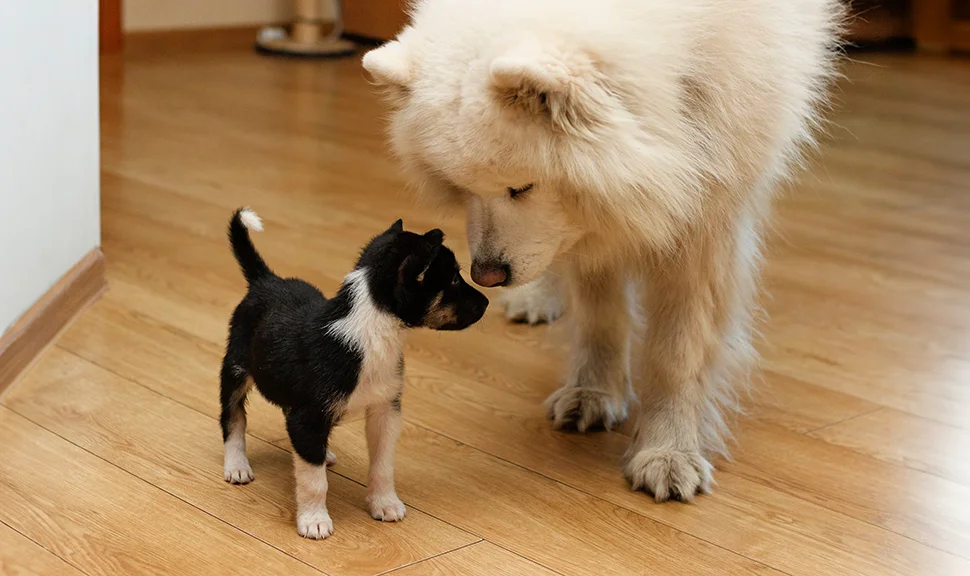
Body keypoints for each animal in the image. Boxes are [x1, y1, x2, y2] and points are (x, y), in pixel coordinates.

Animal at [222, 210, 488, 540]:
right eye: (452, 278)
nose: (487, 302)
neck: (372, 331)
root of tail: (265, 280)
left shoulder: (385, 411)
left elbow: (383, 465)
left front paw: (384, 504)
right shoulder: (308, 416)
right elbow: (313, 481)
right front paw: (314, 520)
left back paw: (323, 453)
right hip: (235, 369)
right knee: (234, 418)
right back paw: (237, 465)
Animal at [364, 0, 840, 500]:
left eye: (521, 187)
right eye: (461, 189)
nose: (486, 275)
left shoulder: (706, 213)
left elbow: (678, 351)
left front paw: (668, 451)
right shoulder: (594, 222)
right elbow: (601, 317)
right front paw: (593, 394)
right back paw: (536, 299)